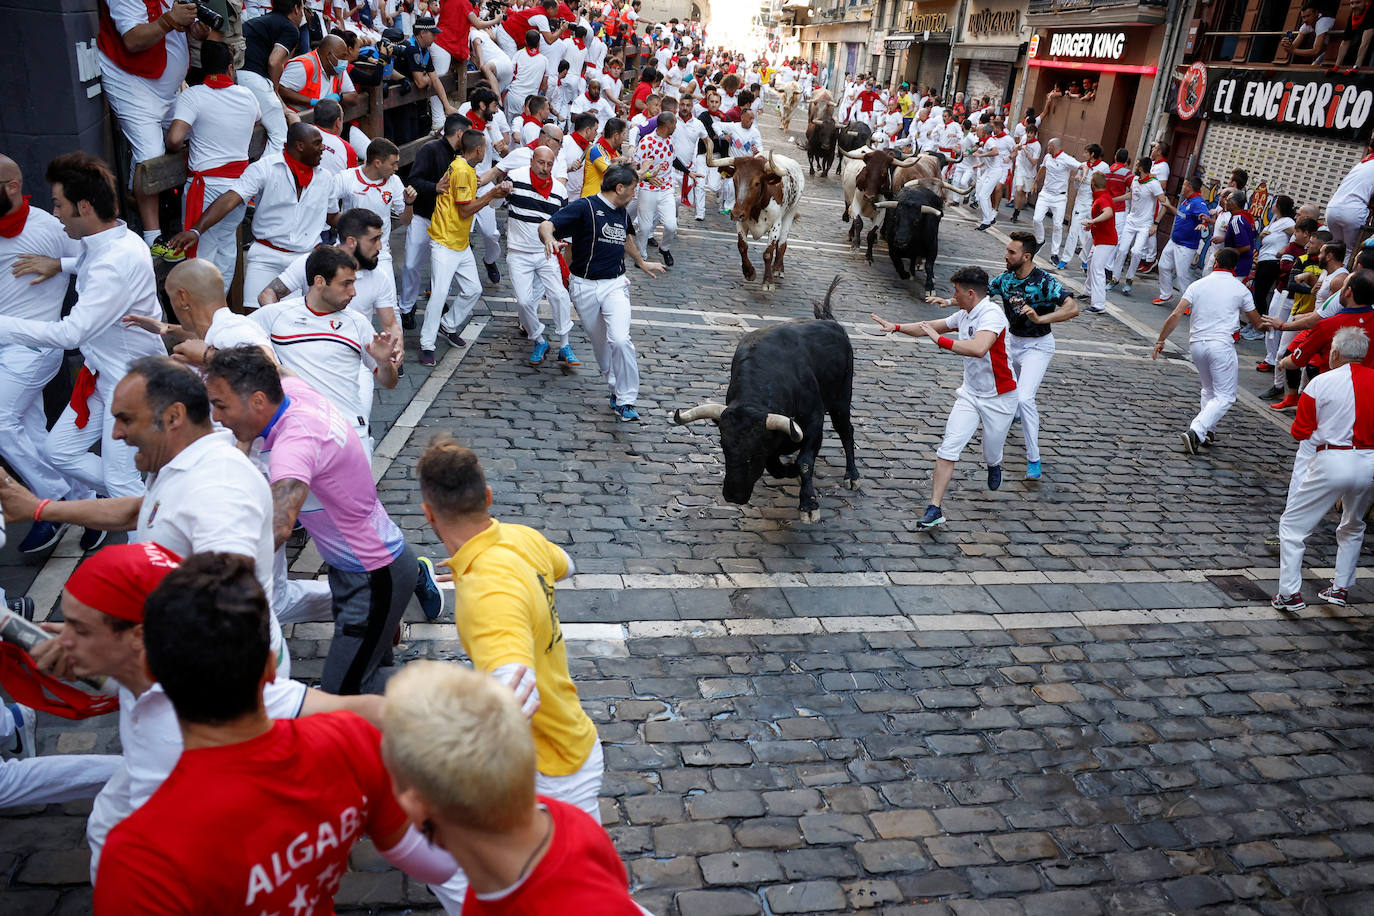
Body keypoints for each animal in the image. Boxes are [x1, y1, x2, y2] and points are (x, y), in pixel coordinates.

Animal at [676, 277, 857, 521]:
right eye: (723, 445)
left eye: (757, 450)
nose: (734, 495)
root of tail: (831, 322)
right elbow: (776, 466)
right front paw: (789, 471)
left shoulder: (813, 420)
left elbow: (805, 462)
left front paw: (809, 504)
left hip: (841, 400)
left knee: (846, 431)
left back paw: (852, 476)